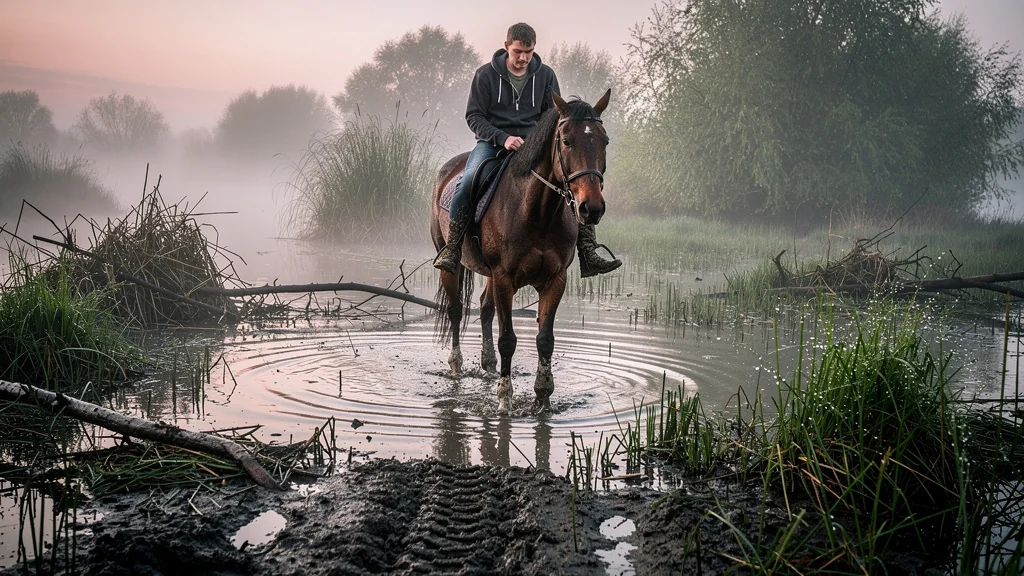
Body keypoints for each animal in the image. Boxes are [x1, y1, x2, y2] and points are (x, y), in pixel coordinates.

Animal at [430, 89, 611, 414]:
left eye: (604, 141)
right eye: (567, 141)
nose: (591, 208)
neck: (537, 212)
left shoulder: (555, 280)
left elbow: (545, 339)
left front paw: (543, 397)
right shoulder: (505, 278)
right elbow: (508, 339)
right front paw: (505, 399)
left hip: (489, 273)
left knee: (485, 308)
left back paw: (488, 365)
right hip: (452, 264)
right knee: (456, 310)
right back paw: (457, 365)